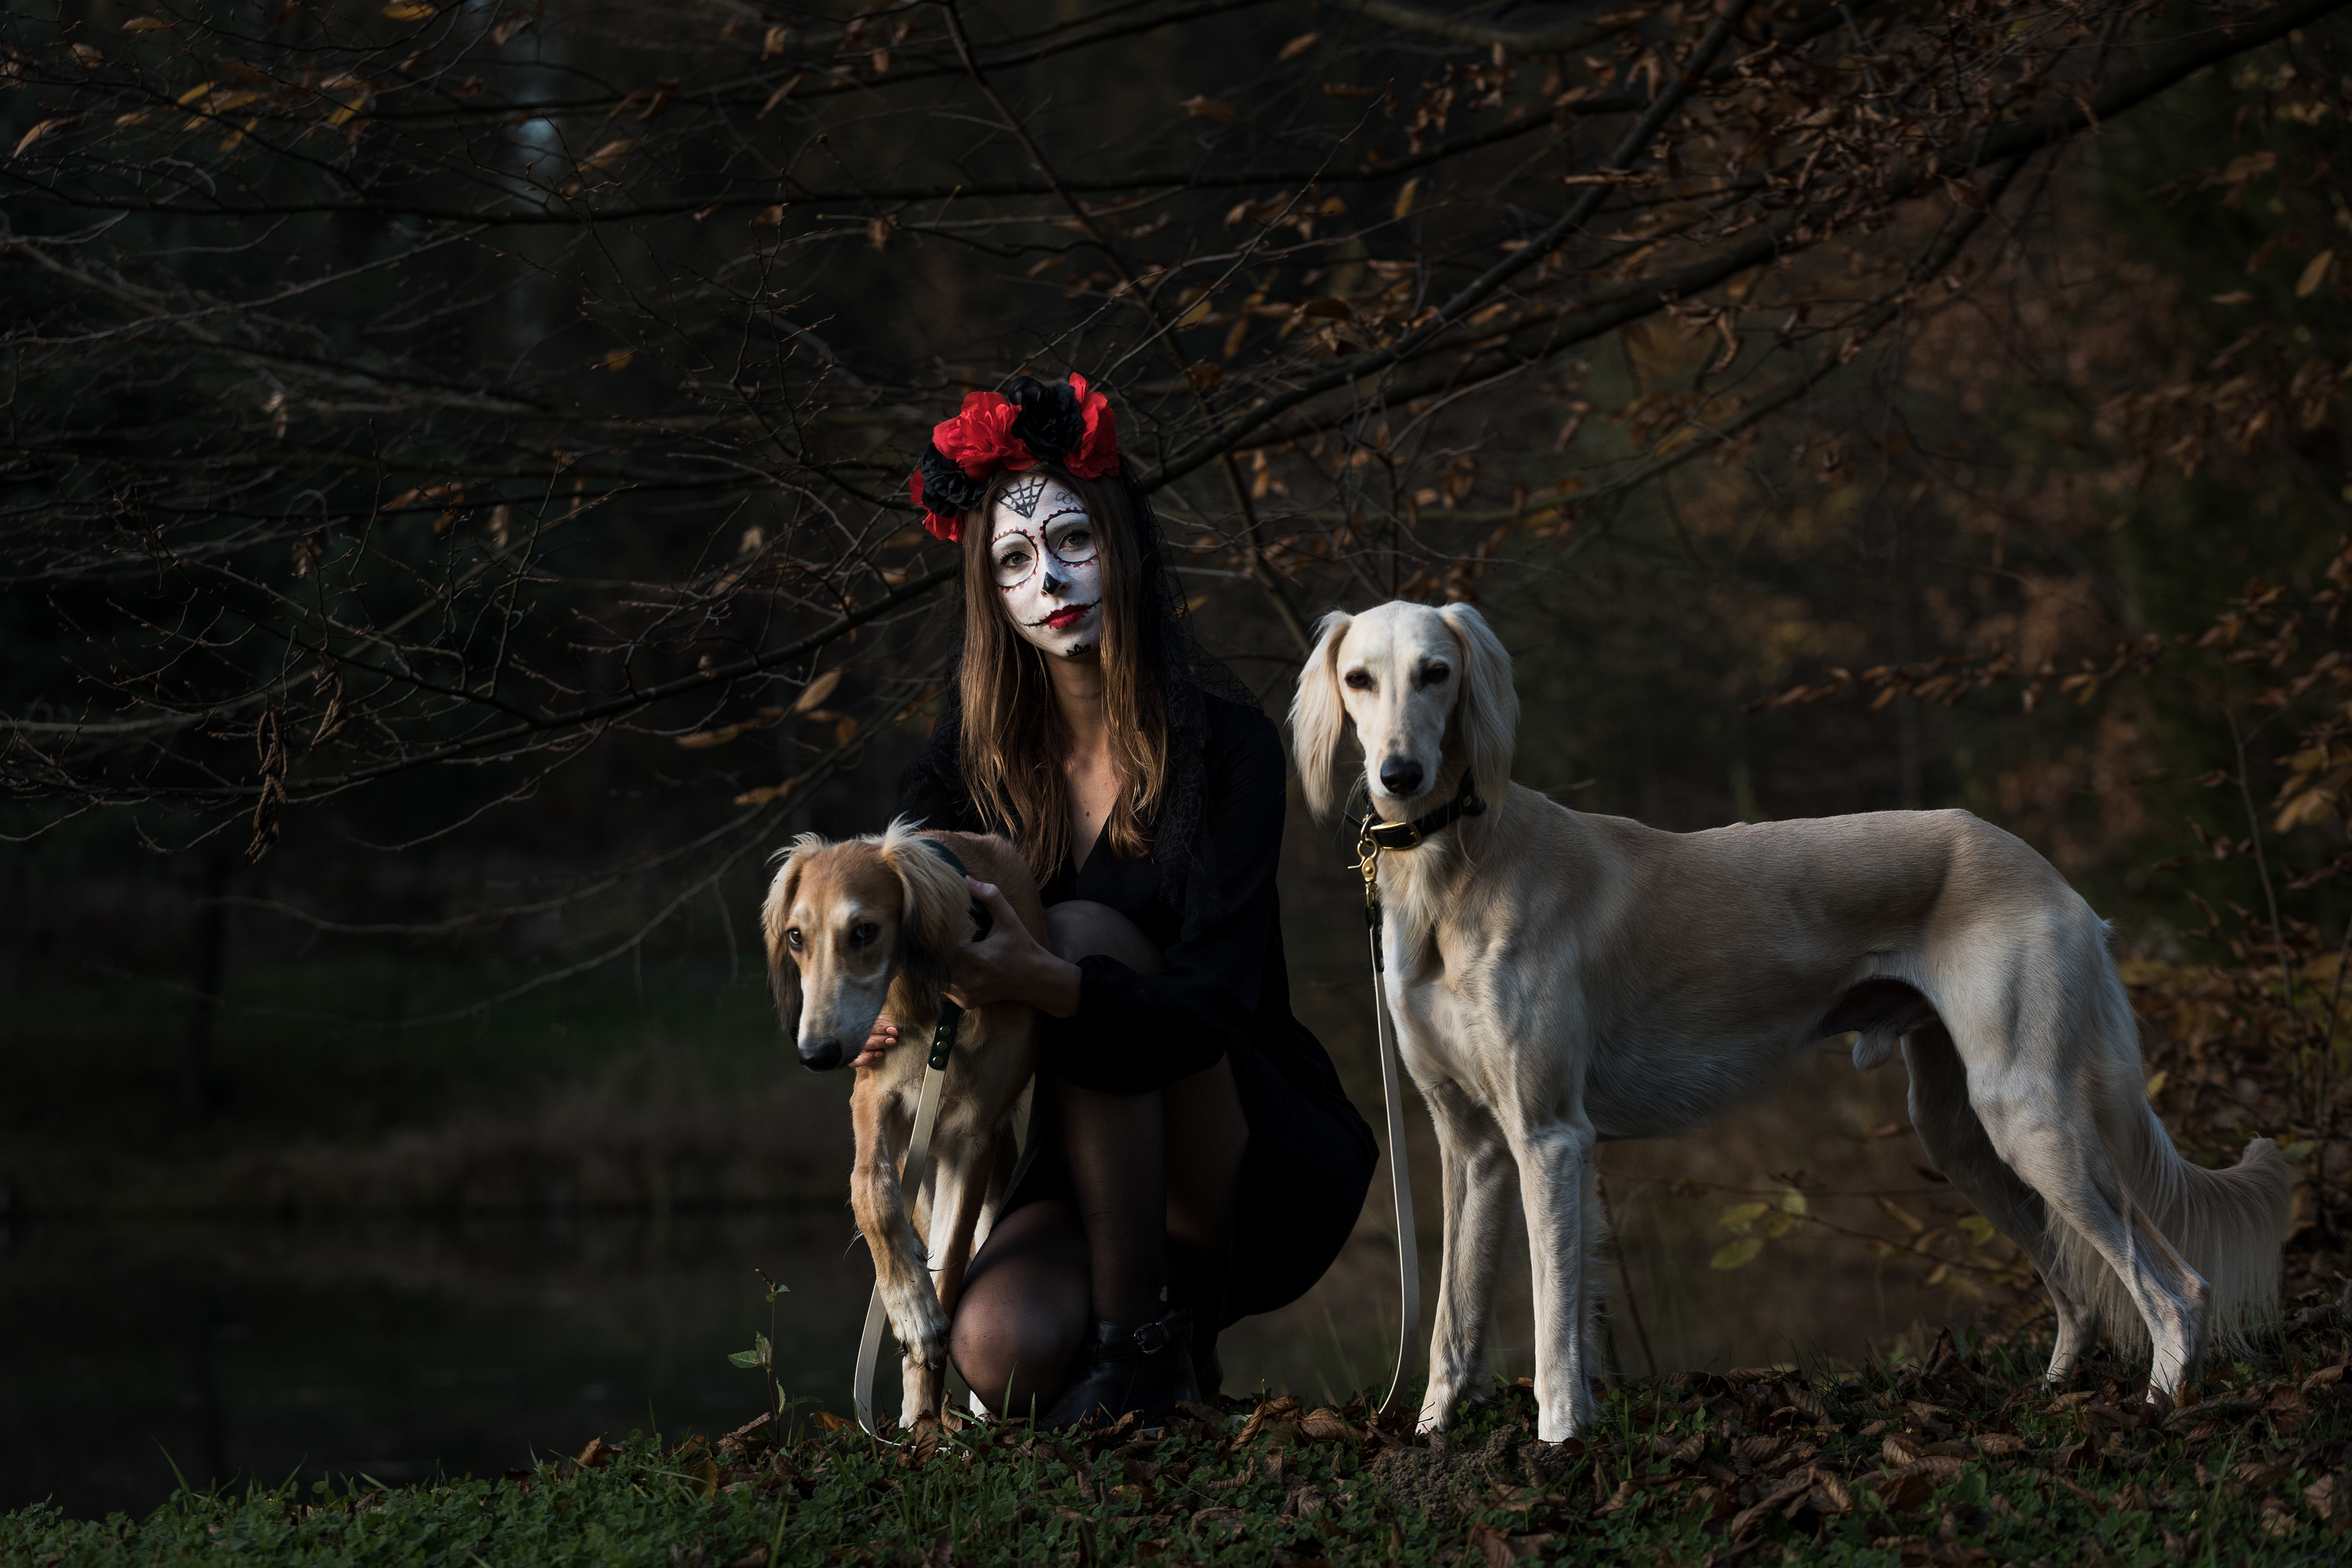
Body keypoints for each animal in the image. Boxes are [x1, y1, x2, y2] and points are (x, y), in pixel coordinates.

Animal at [762, 820, 1045, 1428]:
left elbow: (955, 1268)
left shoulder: (973, 1136)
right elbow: (867, 1188)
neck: (934, 1002)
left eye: (865, 931)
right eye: (796, 937)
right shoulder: (876, 1094)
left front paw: (929, 1417)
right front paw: (912, 1311)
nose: (816, 1054)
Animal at [1289, 599, 2292, 1444]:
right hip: (1963, 1131)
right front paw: (1430, 1437)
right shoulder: (1473, 1144)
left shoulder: (1550, 1136)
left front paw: (1560, 1445)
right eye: (1361, 678)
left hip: (2029, 1115)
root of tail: (2050, 874)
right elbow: (1453, 1321)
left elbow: (1552, 1324)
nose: (1401, 775)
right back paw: (2052, 1396)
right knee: (2079, 1290)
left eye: (1436, 672)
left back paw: (2162, 1405)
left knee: (2176, 1286)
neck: (1459, 866)